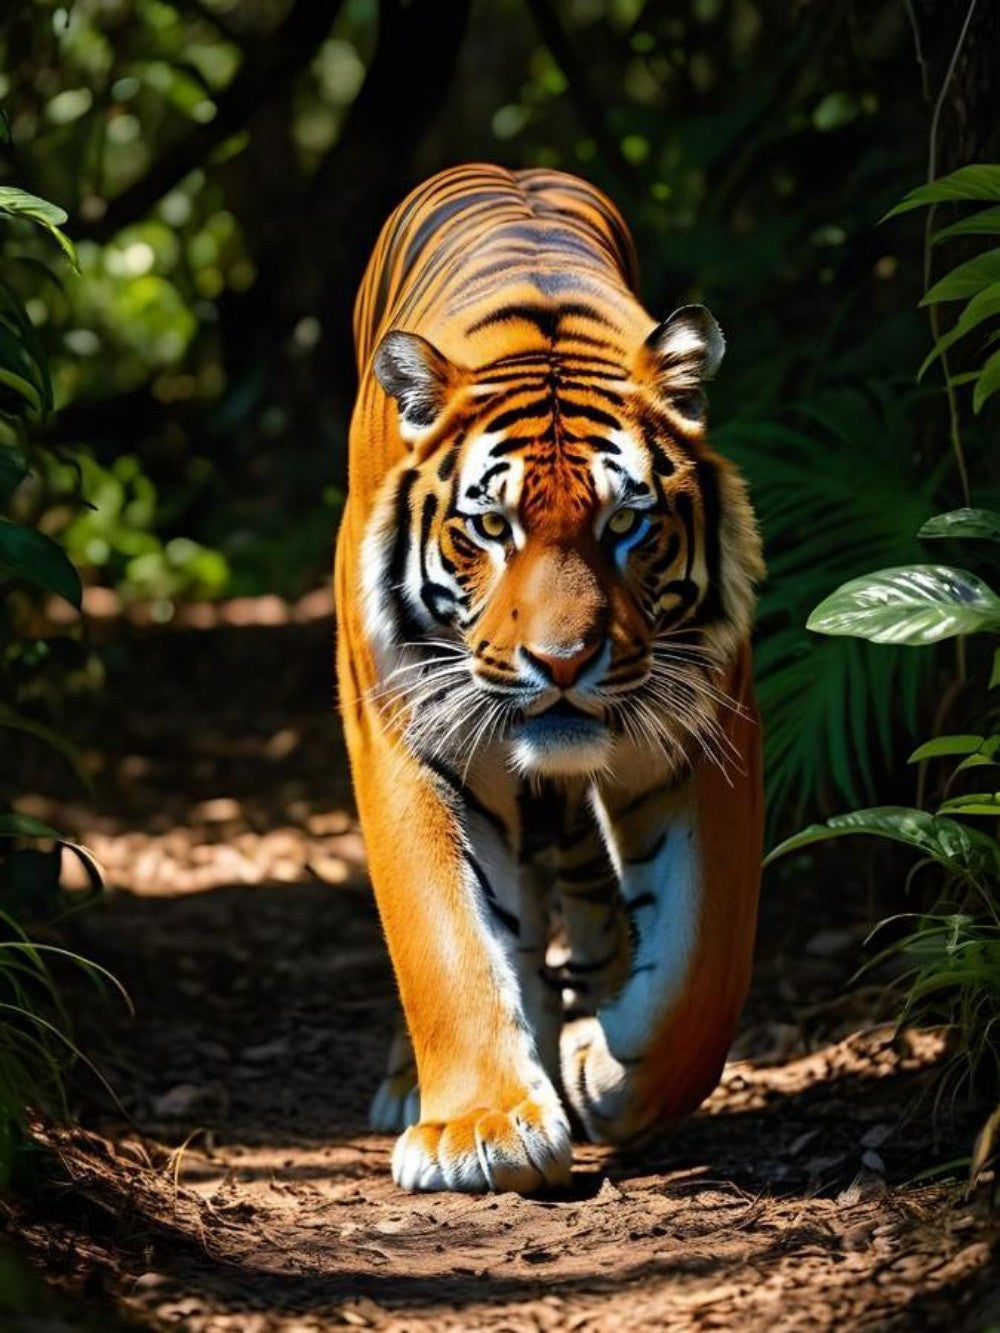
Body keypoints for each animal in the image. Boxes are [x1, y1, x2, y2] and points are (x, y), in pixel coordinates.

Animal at [334, 163, 764, 1195]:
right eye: (492, 527)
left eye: (626, 524)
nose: (563, 663)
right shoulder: (403, 722)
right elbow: (443, 933)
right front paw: (481, 1127)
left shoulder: (706, 726)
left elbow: (702, 966)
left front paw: (604, 1066)